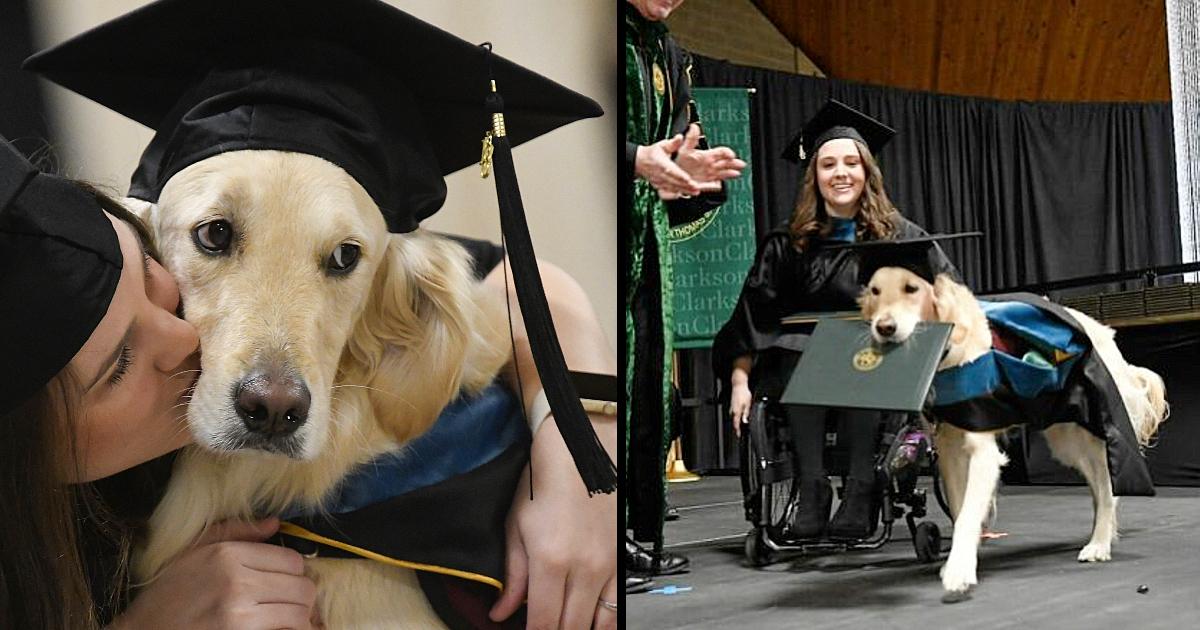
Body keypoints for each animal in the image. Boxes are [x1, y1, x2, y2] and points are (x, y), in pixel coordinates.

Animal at [859, 267, 1166, 597]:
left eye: (911, 289)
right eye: (875, 291)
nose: (884, 328)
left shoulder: (983, 451)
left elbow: (968, 513)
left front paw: (958, 571)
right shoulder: (949, 449)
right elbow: (959, 506)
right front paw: (962, 556)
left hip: (1086, 432)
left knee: (1108, 488)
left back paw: (1099, 544)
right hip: (1064, 437)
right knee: (1099, 487)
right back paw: (1103, 534)